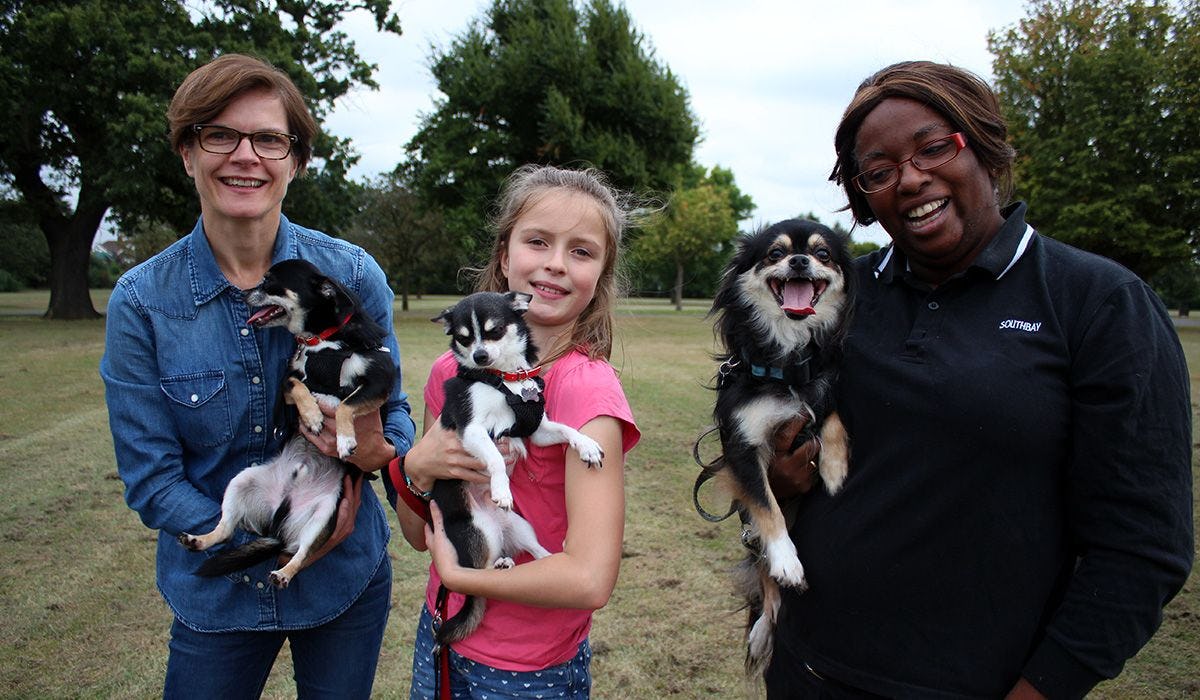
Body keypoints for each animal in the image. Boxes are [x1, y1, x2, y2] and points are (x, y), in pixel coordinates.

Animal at [427, 291, 604, 648]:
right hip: (476, 533)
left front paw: (586, 444)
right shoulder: (472, 430)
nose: (479, 355)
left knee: (533, 553)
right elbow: (495, 457)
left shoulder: (537, 428)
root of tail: (498, 535)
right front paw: (500, 488)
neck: (504, 380)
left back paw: (542, 559)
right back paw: (499, 564)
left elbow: (566, 429)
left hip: (520, 525)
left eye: (494, 331)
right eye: (464, 339)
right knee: (472, 577)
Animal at [700, 220, 854, 677]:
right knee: (766, 578)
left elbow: (830, 417)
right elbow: (769, 511)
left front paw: (834, 469)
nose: (800, 260)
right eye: (774, 254)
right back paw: (763, 631)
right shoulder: (743, 447)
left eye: (823, 254)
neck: (787, 364)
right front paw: (788, 559)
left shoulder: (820, 389)